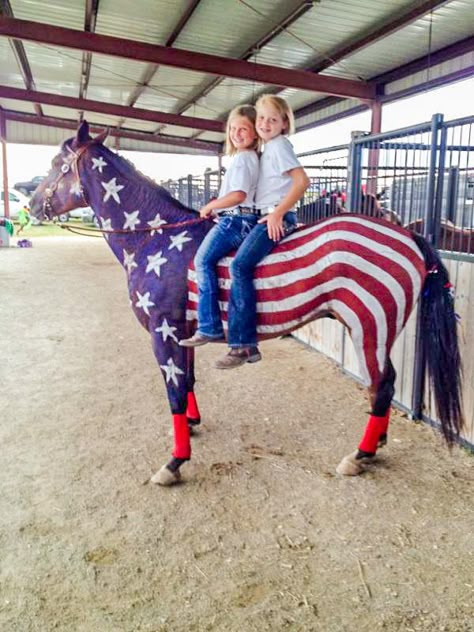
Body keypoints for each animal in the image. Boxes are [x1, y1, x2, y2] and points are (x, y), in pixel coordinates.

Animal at [29, 124, 462, 488]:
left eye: (53, 165)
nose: (32, 206)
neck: (154, 237)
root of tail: (406, 235)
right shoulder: (183, 332)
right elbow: (188, 382)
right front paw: (193, 423)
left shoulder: (163, 331)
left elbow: (173, 392)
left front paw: (175, 461)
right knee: (382, 385)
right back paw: (376, 445)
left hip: (370, 325)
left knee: (383, 383)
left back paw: (359, 455)